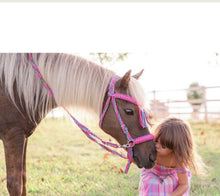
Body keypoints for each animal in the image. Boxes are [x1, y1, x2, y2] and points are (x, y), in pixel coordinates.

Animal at [0, 53, 156, 196]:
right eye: (129, 111)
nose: (152, 155)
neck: (17, 87)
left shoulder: (24, 137)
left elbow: (23, 179)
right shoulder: (13, 136)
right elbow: (15, 184)